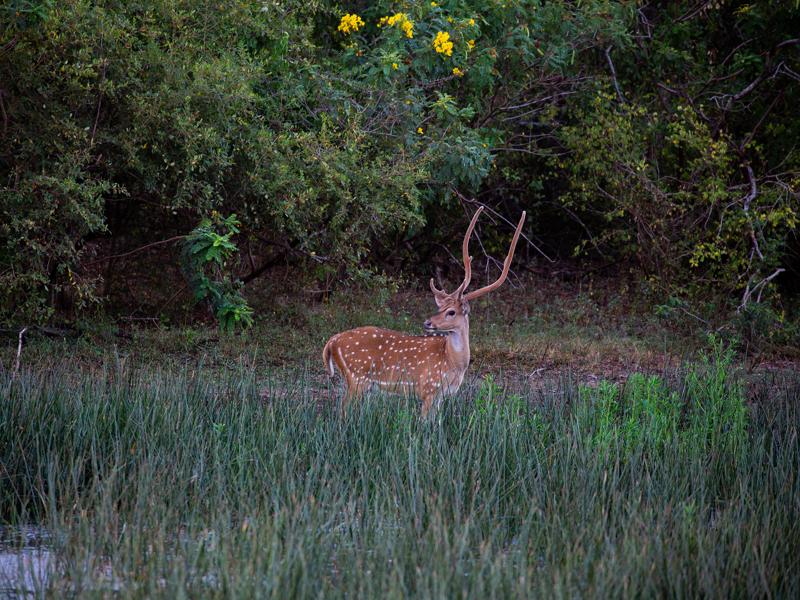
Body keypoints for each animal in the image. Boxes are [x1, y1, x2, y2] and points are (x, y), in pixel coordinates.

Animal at [322, 206, 526, 416]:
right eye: (440, 308)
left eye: (450, 311)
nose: (428, 322)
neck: (453, 363)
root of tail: (332, 342)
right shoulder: (428, 387)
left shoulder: (441, 396)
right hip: (357, 377)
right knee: (343, 410)